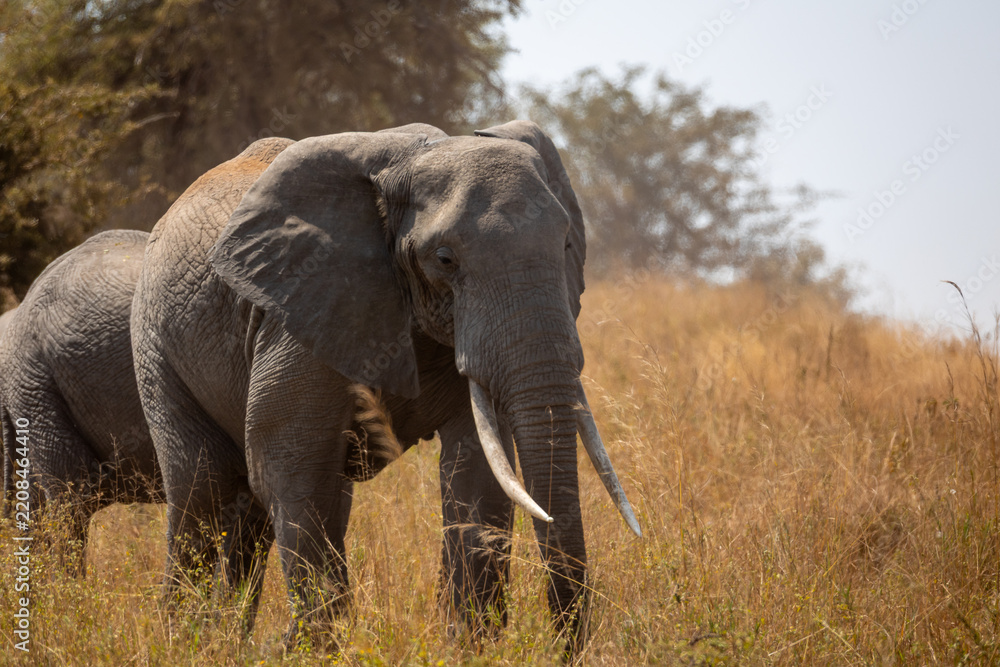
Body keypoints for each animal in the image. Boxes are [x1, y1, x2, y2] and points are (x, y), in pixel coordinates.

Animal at [130, 120, 639, 653]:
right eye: (444, 259)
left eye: (566, 247)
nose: (567, 649)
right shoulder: (304, 307)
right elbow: (289, 467)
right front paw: (317, 651)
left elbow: (479, 474)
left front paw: (467, 647)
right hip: (157, 342)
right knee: (202, 490)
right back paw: (185, 638)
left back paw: (227, 639)